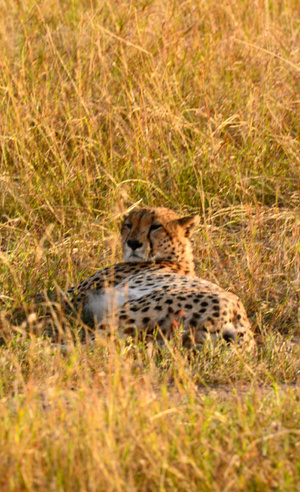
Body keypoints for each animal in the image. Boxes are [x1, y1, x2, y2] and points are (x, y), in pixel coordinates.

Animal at [65, 206, 253, 348]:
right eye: (129, 225)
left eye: (156, 226)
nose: (133, 243)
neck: (175, 259)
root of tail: (239, 320)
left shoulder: (76, 295)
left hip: (136, 308)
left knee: (94, 347)